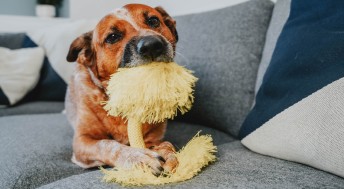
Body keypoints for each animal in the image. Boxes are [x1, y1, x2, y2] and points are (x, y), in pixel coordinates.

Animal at [65, 3, 180, 174]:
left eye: (153, 21)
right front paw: (138, 158)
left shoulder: (153, 138)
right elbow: (108, 145)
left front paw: (169, 154)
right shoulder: (82, 140)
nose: (152, 45)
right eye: (113, 37)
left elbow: (166, 144)